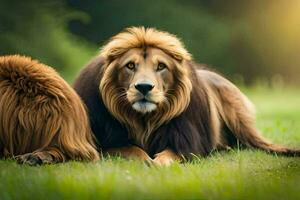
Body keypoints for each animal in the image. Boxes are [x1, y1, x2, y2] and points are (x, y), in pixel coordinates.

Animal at [73, 26, 300, 166]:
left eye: (161, 66)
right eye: (130, 65)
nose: (144, 87)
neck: (144, 120)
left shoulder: (186, 142)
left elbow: (170, 154)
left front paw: (159, 162)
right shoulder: (106, 143)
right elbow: (130, 149)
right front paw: (145, 159)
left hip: (240, 121)